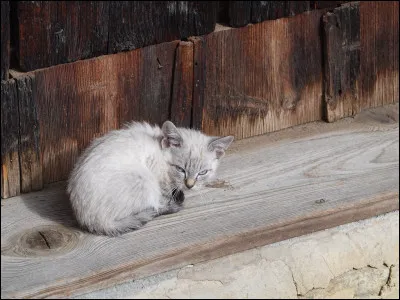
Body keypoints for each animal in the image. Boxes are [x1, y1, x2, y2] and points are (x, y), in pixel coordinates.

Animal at [67, 120, 233, 237]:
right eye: (180, 169)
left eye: (203, 172)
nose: (190, 185)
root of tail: (92, 221)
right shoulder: (156, 173)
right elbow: (164, 195)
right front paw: (173, 194)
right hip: (145, 180)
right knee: (152, 207)